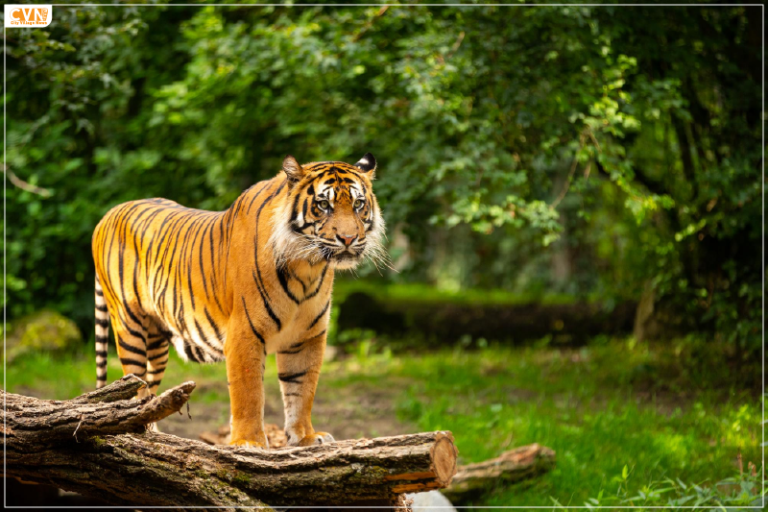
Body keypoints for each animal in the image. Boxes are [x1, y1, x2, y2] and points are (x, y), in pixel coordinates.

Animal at [92, 153, 384, 448]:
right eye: (324, 205)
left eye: (358, 204)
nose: (348, 239)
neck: (307, 267)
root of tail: (107, 215)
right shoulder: (245, 332)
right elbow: (249, 392)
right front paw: (248, 442)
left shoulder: (307, 336)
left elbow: (302, 390)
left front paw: (306, 436)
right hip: (129, 326)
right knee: (134, 385)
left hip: (157, 339)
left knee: (151, 390)